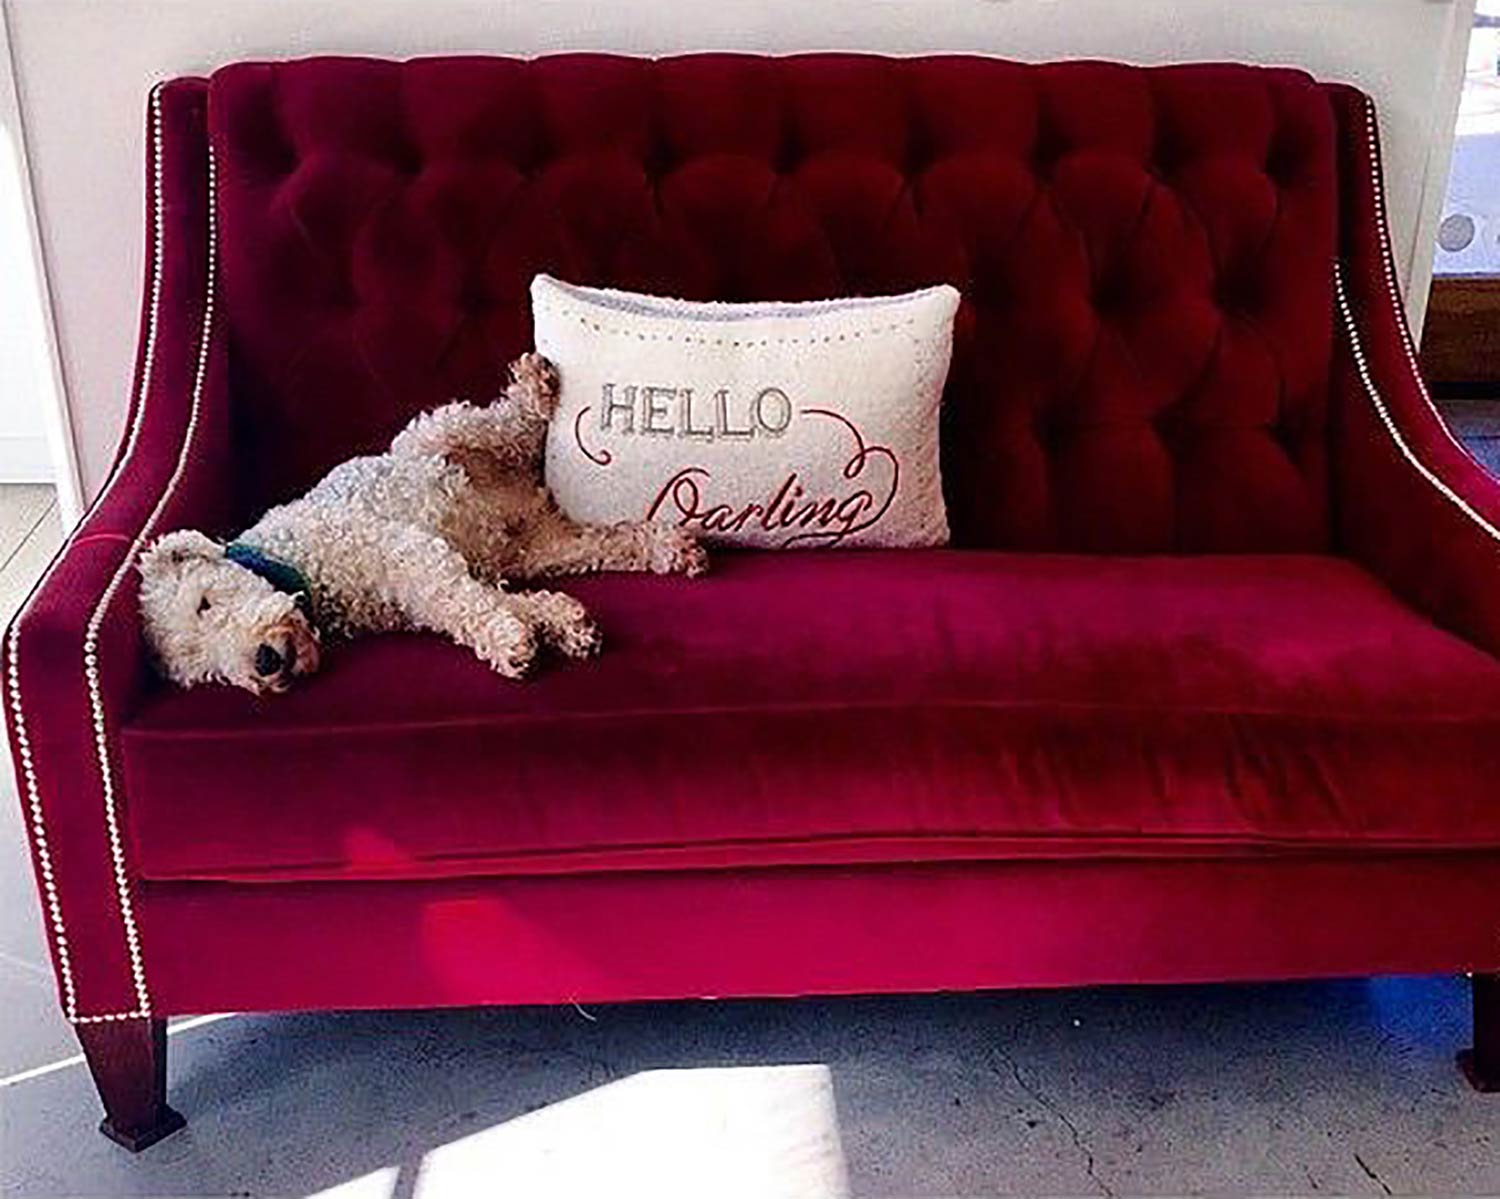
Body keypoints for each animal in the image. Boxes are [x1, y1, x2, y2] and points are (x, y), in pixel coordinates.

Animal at [139, 354, 708, 693]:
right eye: (205, 673)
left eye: (204, 602)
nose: (262, 663)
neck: (296, 566)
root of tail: (519, 500)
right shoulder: (421, 590)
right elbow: (497, 602)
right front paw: (558, 626)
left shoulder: (407, 556)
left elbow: (463, 604)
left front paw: (511, 639)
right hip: (539, 549)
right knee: (609, 539)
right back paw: (670, 547)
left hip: (442, 436)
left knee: (511, 425)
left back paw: (534, 387)